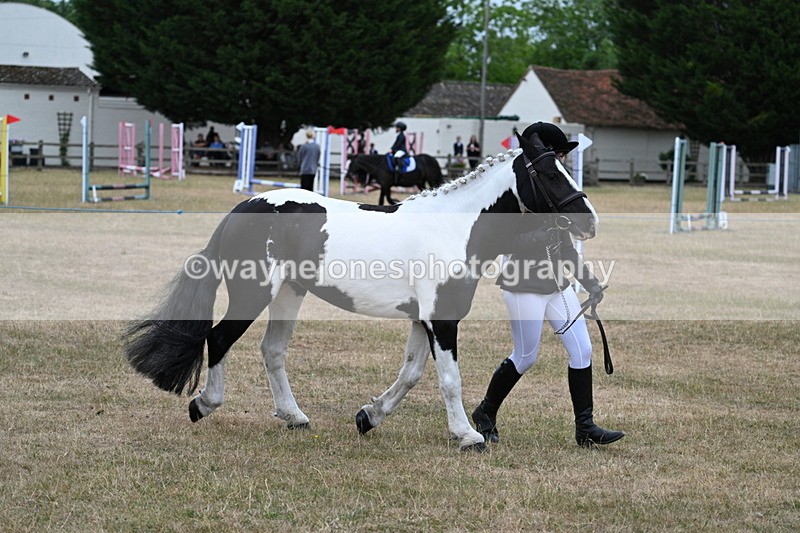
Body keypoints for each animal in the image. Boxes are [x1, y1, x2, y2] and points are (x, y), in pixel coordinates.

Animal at [123, 132, 598, 452]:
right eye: (546, 172)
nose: (589, 221)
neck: (454, 227)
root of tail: (243, 207)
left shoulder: (422, 319)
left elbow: (411, 373)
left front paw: (369, 417)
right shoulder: (442, 319)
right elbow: (449, 379)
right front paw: (467, 435)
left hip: (289, 293)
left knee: (272, 351)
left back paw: (294, 416)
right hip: (251, 293)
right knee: (219, 338)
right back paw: (205, 404)